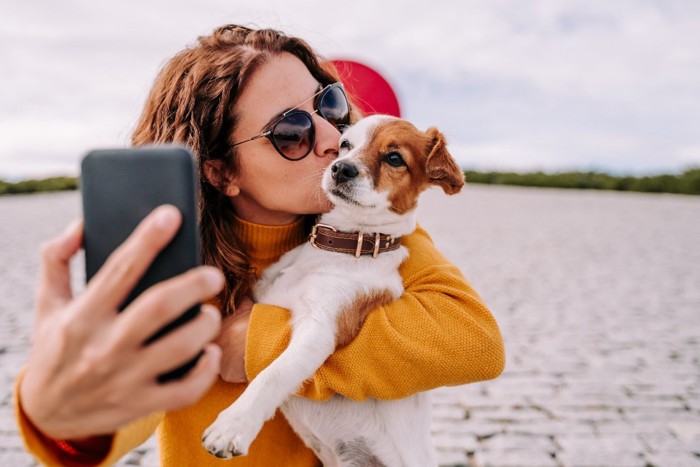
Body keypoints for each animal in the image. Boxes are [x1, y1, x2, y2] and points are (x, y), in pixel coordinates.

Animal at [202, 114, 464, 467]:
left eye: (395, 158)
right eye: (345, 145)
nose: (341, 168)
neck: (338, 245)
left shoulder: (319, 330)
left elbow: (273, 373)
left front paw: (233, 425)